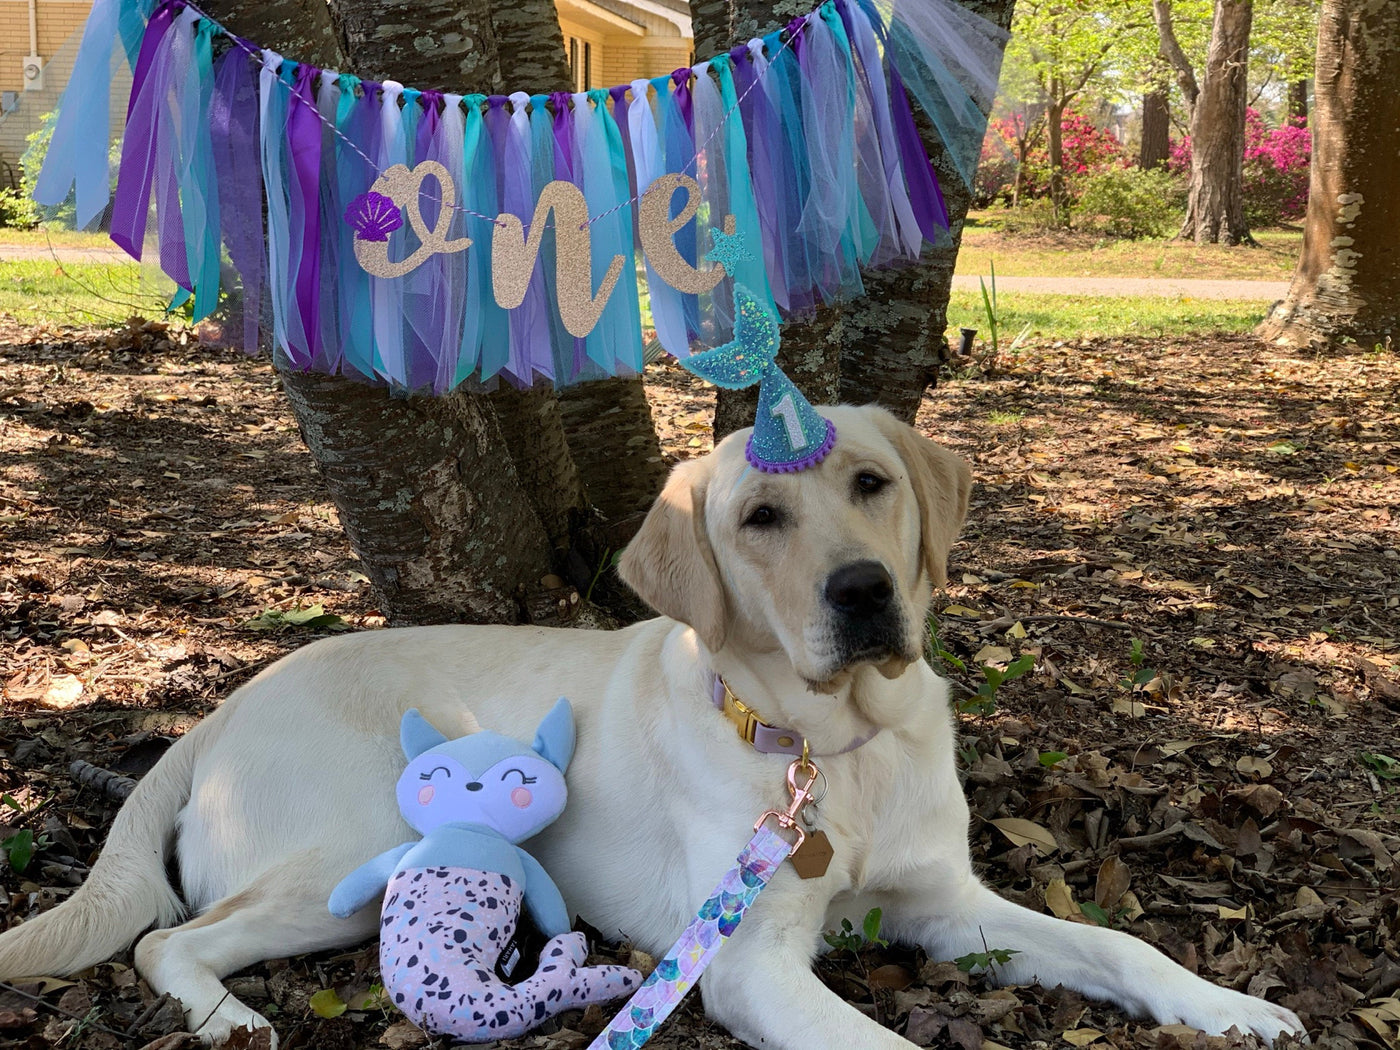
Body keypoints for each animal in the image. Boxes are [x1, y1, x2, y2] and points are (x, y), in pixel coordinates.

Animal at [0, 406, 1299, 1050]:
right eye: (760, 517)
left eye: (871, 484)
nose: (863, 592)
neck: (830, 750)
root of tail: (216, 712)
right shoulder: (749, 967)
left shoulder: (946, 906)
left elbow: (1117, 948)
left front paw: (1229, 1009)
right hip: (358, 850)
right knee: (167, 941)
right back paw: (226, 1020)